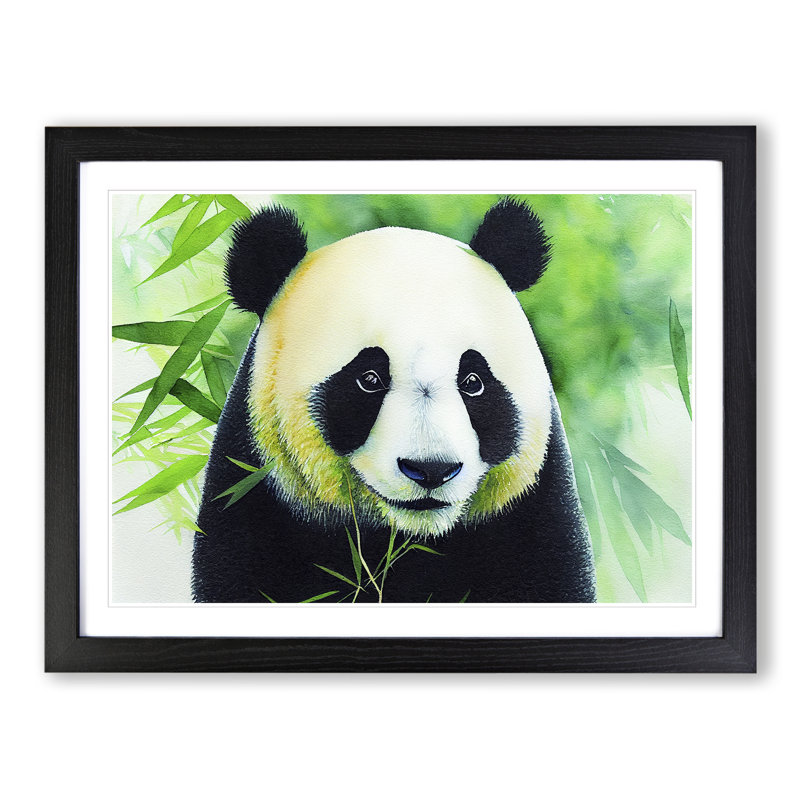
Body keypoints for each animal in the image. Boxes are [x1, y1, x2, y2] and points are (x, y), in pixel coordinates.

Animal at [192, 198, 596, 603]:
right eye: (369, 379)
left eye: (473, 382)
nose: (431, 469)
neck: (402, 540)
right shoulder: (254, 492)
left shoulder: (530, 511)